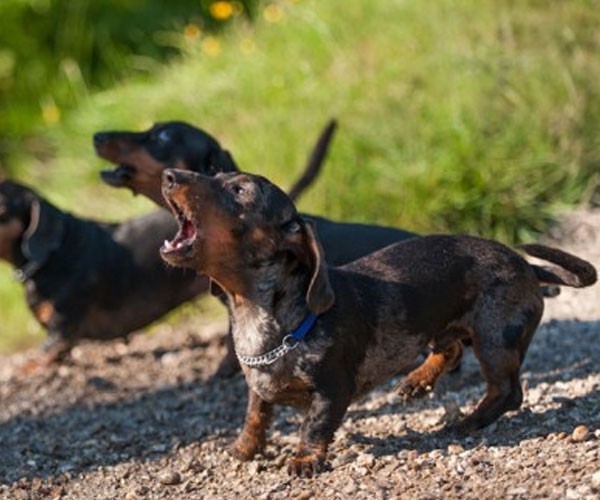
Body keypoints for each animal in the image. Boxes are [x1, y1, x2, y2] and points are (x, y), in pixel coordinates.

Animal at [158, 169, 596, 476]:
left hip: (495, 339)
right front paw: (243, 449)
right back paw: (418, 381)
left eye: (240, 191)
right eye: (216, 175)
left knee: (508, 391)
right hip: (439, 327)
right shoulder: (259, 389)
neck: (268, 322)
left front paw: (305, 460)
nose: (169, 175)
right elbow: (255, 417)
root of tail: (526, 266)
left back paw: (467, 422)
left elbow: (313, 427)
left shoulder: (332, 392)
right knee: (452, 350)